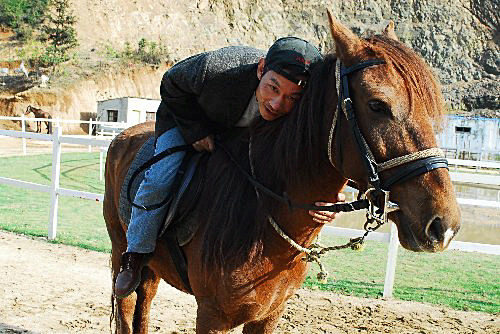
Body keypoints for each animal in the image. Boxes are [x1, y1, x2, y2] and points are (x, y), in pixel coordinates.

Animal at [102, 11, 460, 334]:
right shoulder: (212, 317)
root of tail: (123, 135)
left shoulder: (268, 316)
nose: (443, 226)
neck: (262, 211)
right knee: (128, 303)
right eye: (377, 105)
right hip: (122, 252)